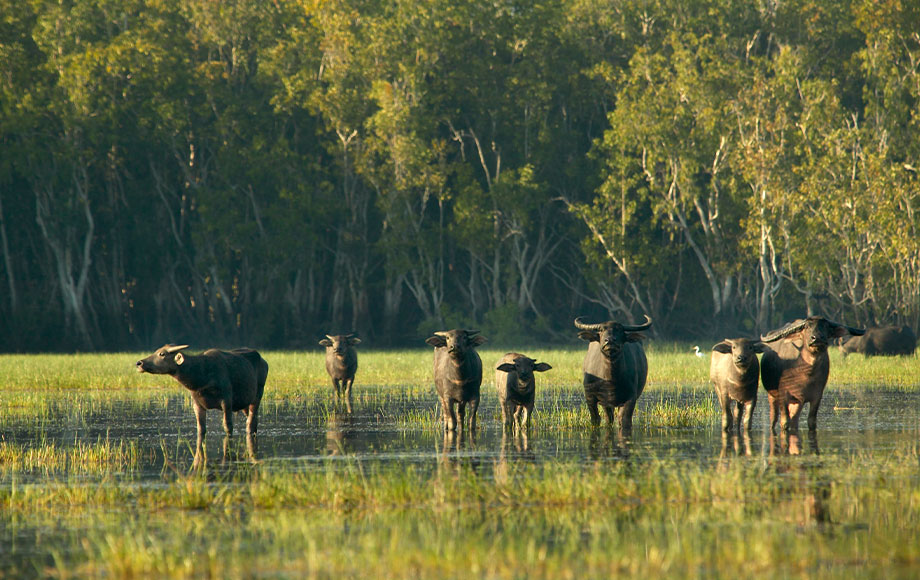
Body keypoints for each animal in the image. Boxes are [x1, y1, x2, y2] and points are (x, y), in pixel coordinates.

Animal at [136, 344, 270, 462]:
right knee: (254, 421)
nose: (139, 363)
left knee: (250, 422)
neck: (202, 375)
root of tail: (264, 363)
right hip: (245, 403)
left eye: (162, 354)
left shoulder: (227, 401)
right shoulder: (197, 404)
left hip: (258, 395)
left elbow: (228, 426)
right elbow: (201, 429)